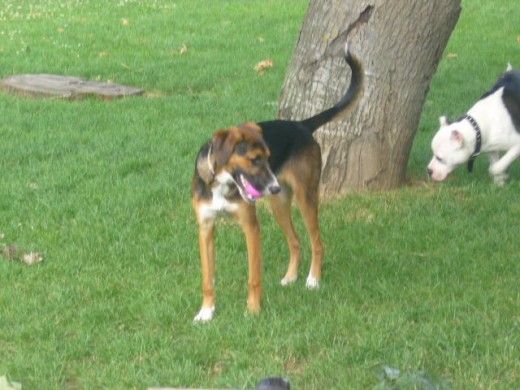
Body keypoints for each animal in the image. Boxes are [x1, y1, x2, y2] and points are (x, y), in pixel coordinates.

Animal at [192, 45, 366, 322]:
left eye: (268, 157)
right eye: (255, 160)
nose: (272, 186)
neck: (221, 185)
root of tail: (302, 125)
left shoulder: (250, 227)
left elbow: (254, 277)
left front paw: (253, 310)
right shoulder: (205, 228)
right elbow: (208, 279)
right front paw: (206, 312)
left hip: (305, 197)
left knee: (317, 243)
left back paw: (313, 280)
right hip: (279, 205)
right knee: (295, 242)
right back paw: (290, 277)